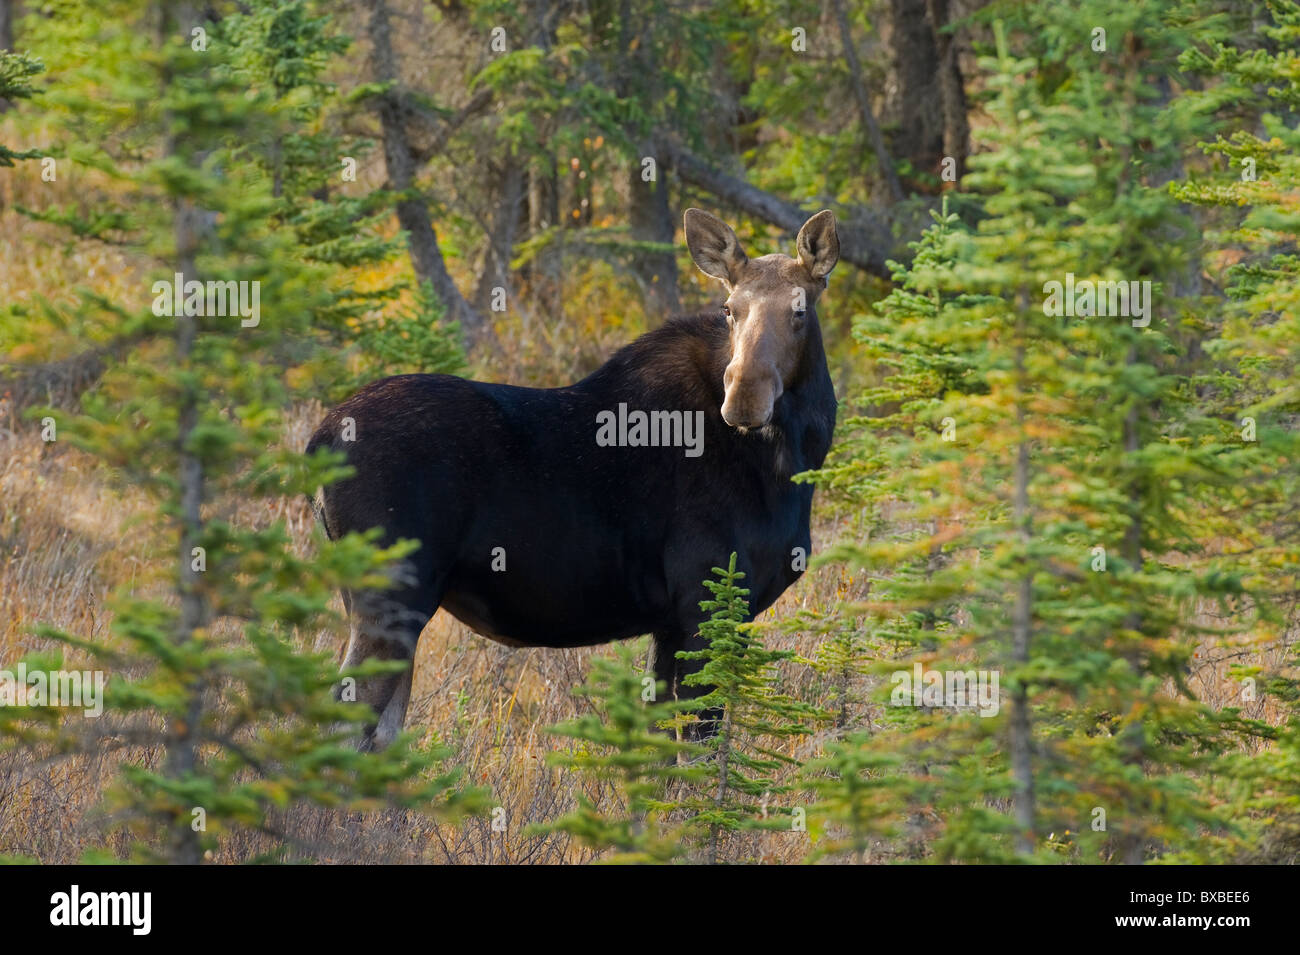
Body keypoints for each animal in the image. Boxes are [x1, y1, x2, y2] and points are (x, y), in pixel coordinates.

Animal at [308, 207, 837, 748]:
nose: (745, 398)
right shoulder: (707, 600)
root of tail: (319, 442)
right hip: (392, 598)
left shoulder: (670, 622)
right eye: (730, 309)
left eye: (799, 311)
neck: (793, 463)